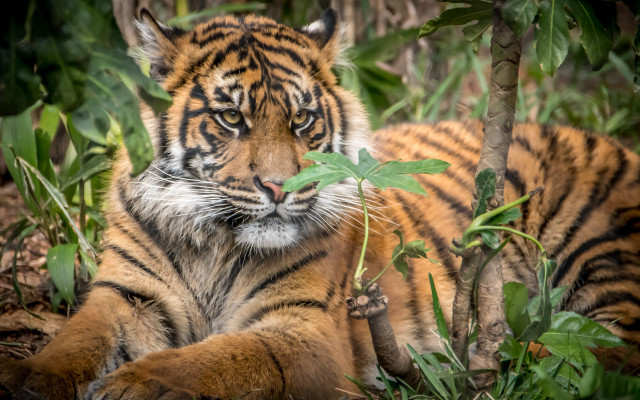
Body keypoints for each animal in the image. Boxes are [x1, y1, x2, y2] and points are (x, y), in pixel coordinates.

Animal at [1, 7, 640, 400]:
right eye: (230, 118)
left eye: (303, 119)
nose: (280, 188)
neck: (214, 240)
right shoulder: (126, 295)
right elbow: (74, 343)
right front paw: (24, 378)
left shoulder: (303, 328)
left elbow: (219, 358)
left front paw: (139, 384)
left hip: (601, 257)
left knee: (596, 350)